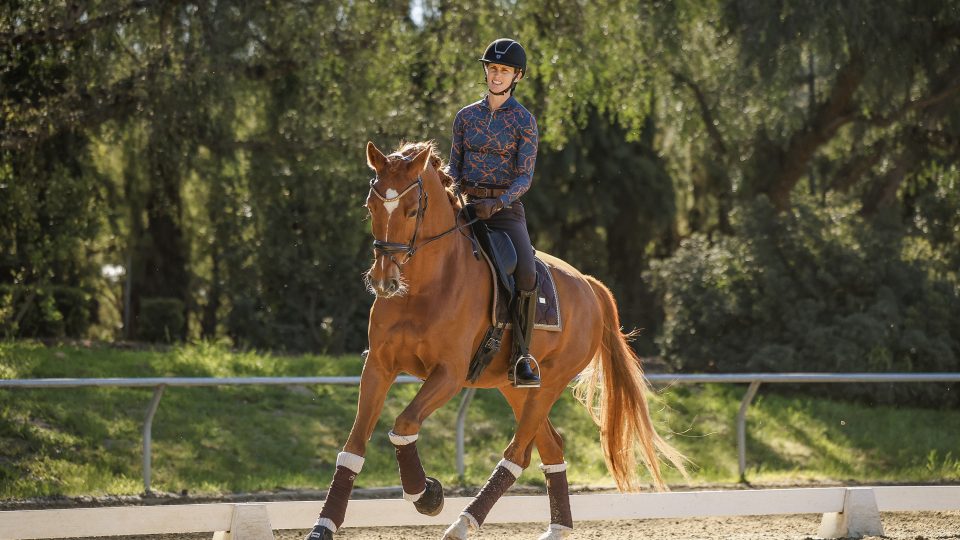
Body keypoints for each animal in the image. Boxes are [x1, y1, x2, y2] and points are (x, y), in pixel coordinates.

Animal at [306, 140, 687, 540]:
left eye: (411, 211)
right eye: (371, 207)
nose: (384, 280)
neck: (423, 287)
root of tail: (588, 285)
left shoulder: (449, 374)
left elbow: (404, 425)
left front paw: (427, 495)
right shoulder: (378, 367)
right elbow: (353, 447)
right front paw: (323, 526)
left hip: (549, 383)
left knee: (518, 453)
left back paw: (462, 523)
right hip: (515, 387)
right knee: (551, 447)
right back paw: (557, 528)